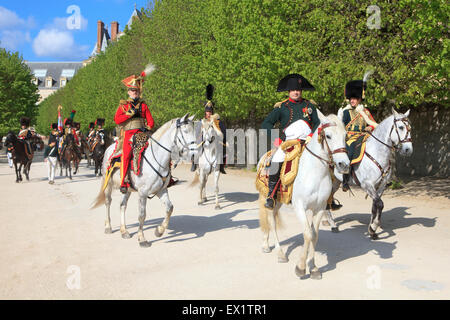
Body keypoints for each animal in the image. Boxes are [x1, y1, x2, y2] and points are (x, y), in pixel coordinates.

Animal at [91, 115, 197, 248]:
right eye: (185, 131)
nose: (195, 153)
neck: (157, 158)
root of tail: (110, 148)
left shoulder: (161, 190)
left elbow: (169, 208)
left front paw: (159, 231)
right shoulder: (143, 193)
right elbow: (142, 215)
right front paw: (142, 239)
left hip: (126, 188)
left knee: (122, 205)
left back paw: (124, 231)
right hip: (108, 184)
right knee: (108, 202)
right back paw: (108, 227)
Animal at [256, 114, 348, 278]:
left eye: (345, 136)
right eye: (328, 136)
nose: (344, 164)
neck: (315, 172)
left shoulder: (320, 208)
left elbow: (314, 235)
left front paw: (313, 267)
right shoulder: (300, 207)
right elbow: (307, 234)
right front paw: (300, 267)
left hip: (278, 201)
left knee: (272, 218)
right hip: (265, 197)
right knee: (270, 221)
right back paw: (277, 252)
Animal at [326, 109, 414, 239]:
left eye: (410, 128)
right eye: (401, 127)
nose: (408, 150)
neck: (376, 153)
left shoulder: (380, 186)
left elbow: (375, 206)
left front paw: (372, 230)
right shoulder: (367, 185)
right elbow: (380, 204)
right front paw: (374, 227)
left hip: (336, 181)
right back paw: (332, 225)